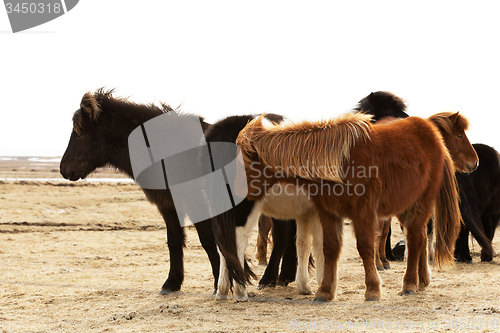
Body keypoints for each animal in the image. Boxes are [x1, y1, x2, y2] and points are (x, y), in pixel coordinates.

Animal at [60, 89, 221, 294]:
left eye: (79, 134)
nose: (63, 169)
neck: (170, 150)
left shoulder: (196, 202)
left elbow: (207, 240)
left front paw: (219, 285)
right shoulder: (168, 205)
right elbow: (174, 240)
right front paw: (172, 283)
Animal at [236, 111, 478, 300]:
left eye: (244, 161)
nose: (474, 163)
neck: (339, 162)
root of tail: (433, 134)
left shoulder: (364, 212)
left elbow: (365, 246)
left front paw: (372, 290)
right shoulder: (327, 213)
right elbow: (330, 248)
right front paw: (324, 292)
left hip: (422, 202)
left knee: (416, 239)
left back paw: (409, 284)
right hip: (405, 206)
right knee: (418, 239)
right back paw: (419, 282)